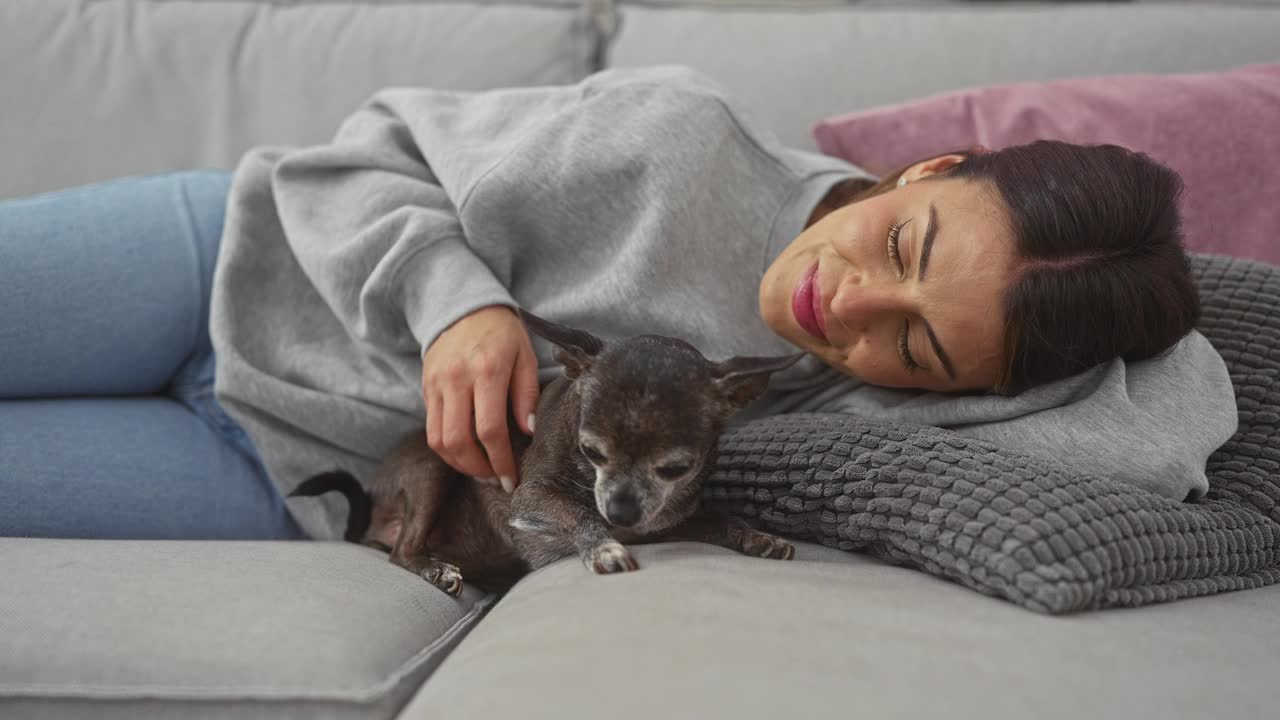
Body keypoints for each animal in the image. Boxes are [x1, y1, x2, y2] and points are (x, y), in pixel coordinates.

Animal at [294, 310, 803, 594]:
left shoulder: (665, 523)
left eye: (676, 468)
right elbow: (580, 513)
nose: (621, 511)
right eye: (590, 451)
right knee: (401, 551)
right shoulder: (531, 497)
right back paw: (433, 570)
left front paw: (757, 537)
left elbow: (718, 520)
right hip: (435, 467)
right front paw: (603, 548)